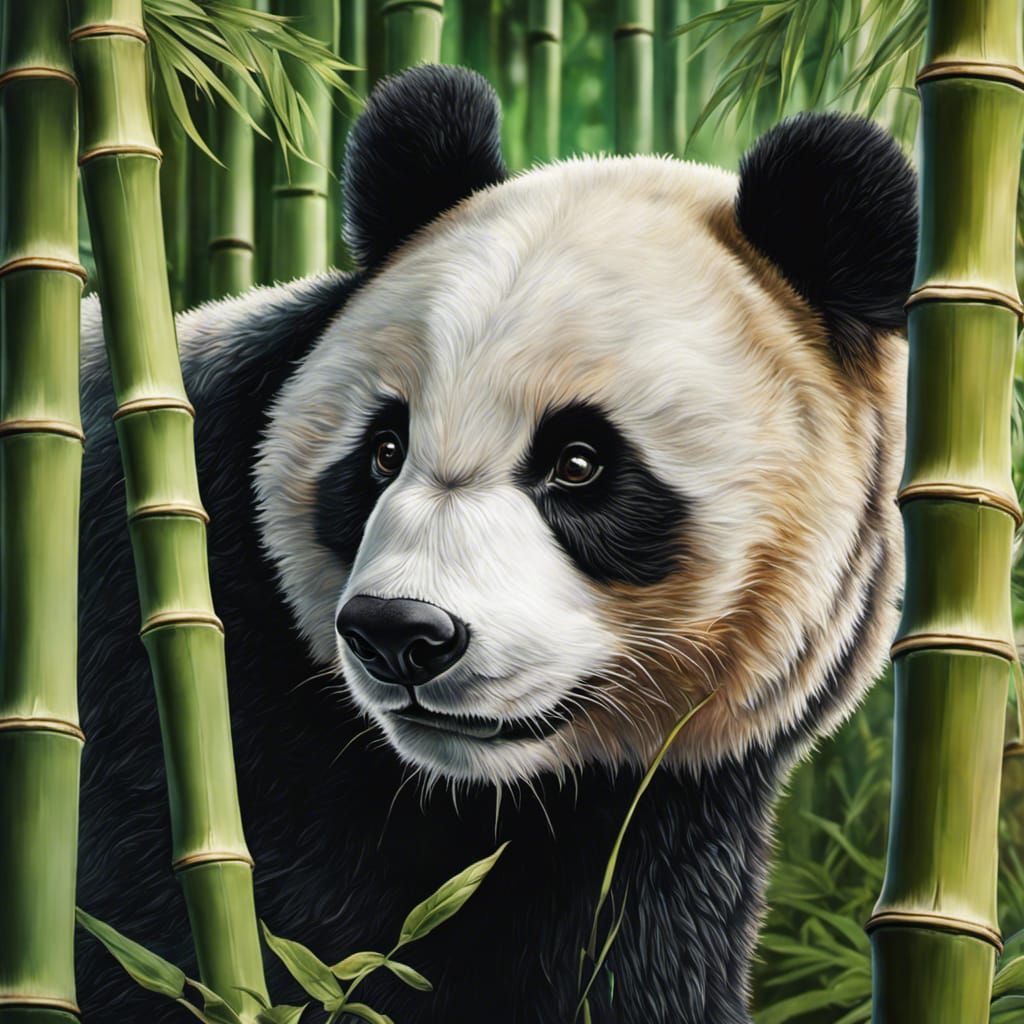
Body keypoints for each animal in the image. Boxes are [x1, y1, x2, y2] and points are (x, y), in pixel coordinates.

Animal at [75, 64, 915, 1024]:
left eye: (580, 463)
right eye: (384, 450)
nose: (400, 633)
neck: (464, 794)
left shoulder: (660, 821)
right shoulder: (161, 695)